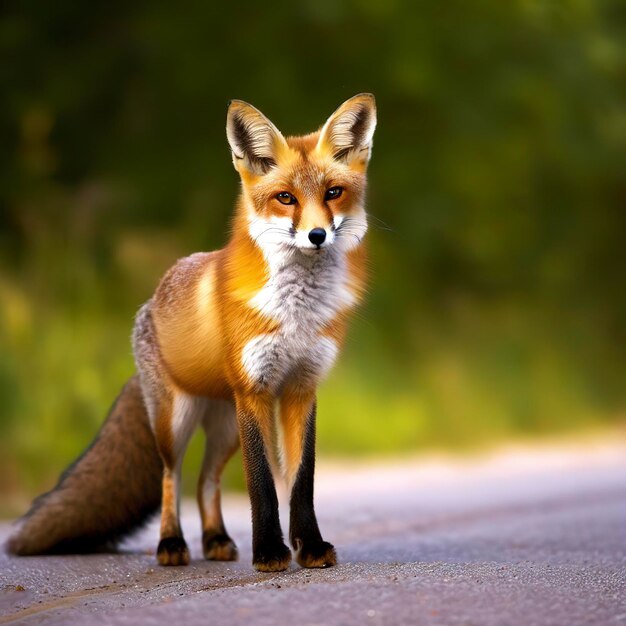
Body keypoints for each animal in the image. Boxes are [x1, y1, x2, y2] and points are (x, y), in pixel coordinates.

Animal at [7, 94, 376, 572]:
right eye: (285, 198)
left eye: (333, 192)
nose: (317, 235)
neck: (296, 314)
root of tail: (149, 304)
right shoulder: (256, 391)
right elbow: (262, 485)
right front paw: (270, 552)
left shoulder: (301, 388)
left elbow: (301, 481)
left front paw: (309, 547)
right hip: (176, 421)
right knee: (173, 477)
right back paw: (172, 544)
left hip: (225, 427)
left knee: (206, 480)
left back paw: (216, 538)